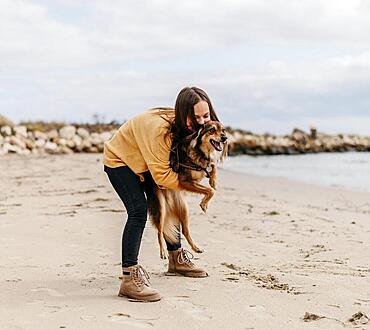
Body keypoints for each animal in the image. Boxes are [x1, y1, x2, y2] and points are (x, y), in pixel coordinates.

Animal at [143, 120, 227, 260]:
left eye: (223, 130)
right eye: (212, 130)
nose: (225, 138)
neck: (199, 150)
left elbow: (212, 166)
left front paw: (213, 181)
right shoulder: (184, 181)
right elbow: (210, 191)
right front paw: (204, 204)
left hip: (184, 209)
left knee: (185, 231)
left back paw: (196, 248)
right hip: (161, 207)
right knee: (160, 231)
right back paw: (163, 252)